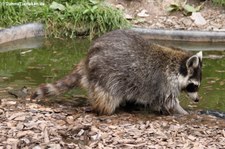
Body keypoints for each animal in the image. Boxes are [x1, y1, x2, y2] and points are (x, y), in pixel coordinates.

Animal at [31, 29, 202, 115]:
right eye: (194, 86)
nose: (197, 100)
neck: (176, 66)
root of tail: (88, 57)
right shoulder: (165, 83)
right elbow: (168, 102)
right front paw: (184, 113)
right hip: (106, 74)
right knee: (108, 96)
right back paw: (103, 109)